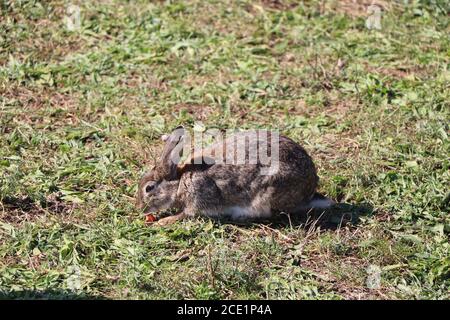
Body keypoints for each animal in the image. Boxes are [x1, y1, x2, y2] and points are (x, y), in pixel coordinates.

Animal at [137, 126, 334, 226]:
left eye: (149, 188)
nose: (140, 208)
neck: (180, 181)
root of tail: (309, 193)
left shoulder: (198, 196)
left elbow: (186, 214)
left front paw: (163, 221)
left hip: (269, 191)